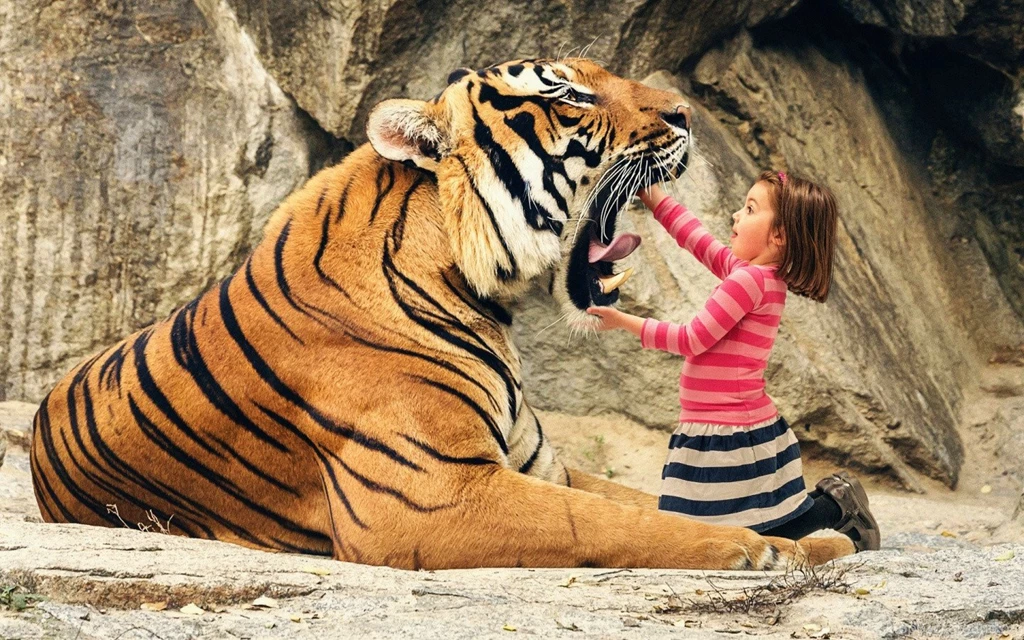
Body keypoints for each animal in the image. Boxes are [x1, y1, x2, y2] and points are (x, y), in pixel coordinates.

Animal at [30, 58, 853, 570]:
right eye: (570, 96)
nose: (684, 115)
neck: (481, 295)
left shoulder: (538, 464)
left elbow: (651, 501)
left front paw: (822, 540)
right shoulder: (433, 495)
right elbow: (627, 521)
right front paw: (774, 549)